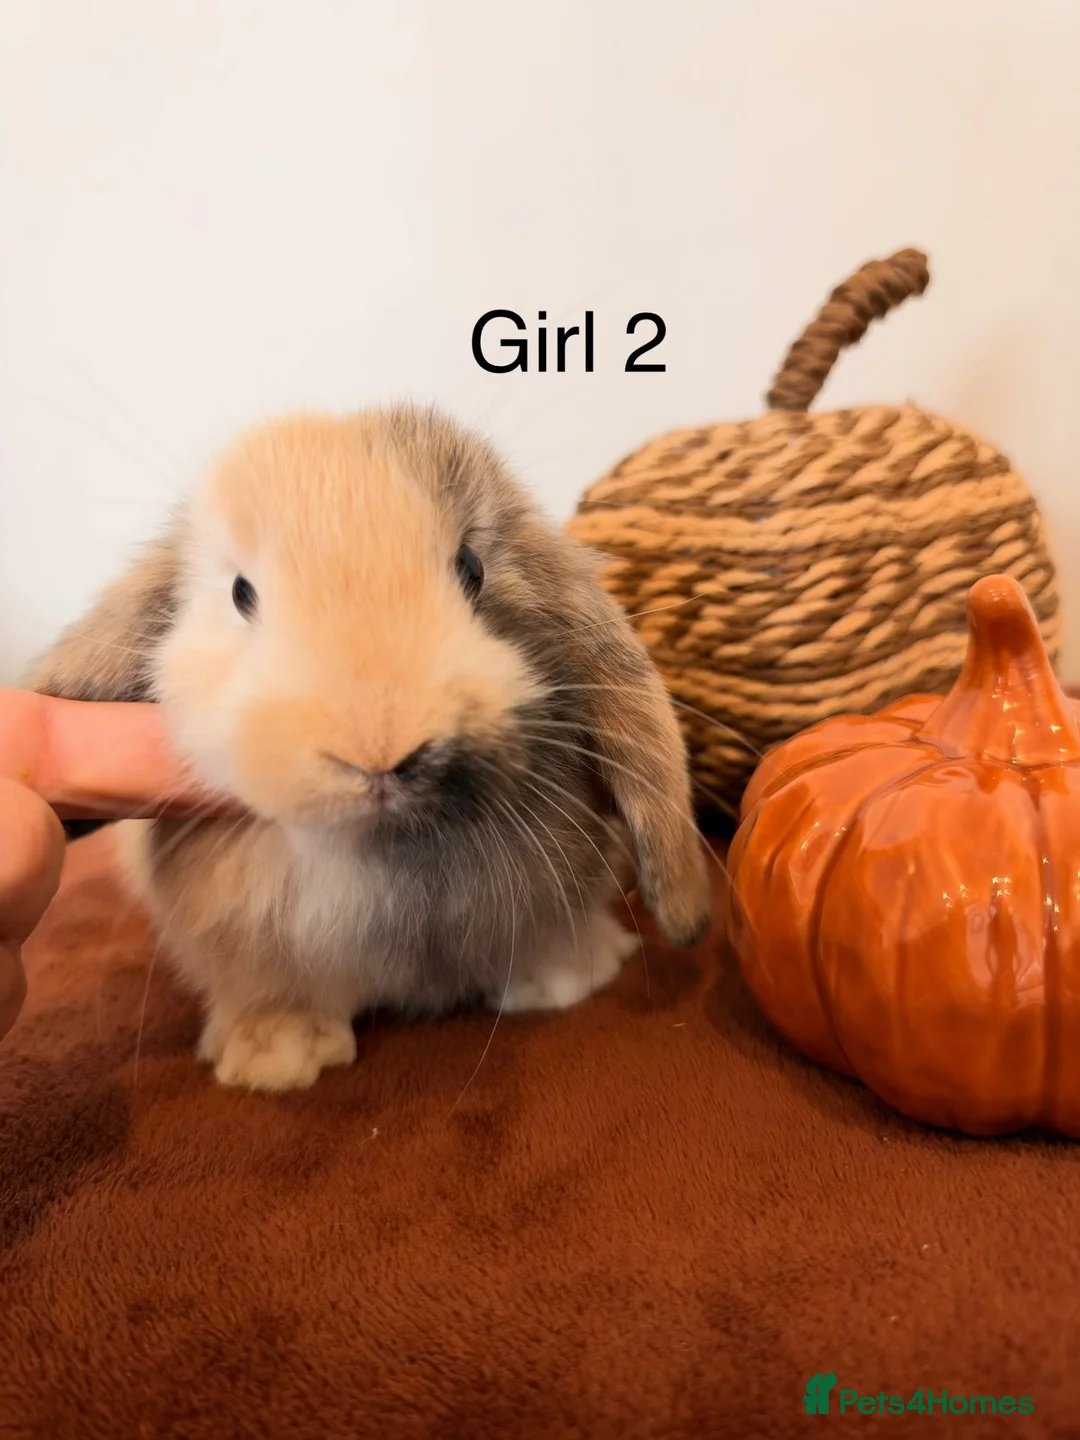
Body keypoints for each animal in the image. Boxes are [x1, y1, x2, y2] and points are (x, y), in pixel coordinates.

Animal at [27, 405, 712, 1091]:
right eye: (241, 593)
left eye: (471, 567)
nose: (381, 750)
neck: (387, 847)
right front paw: (276, 1057)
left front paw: (565, 981)